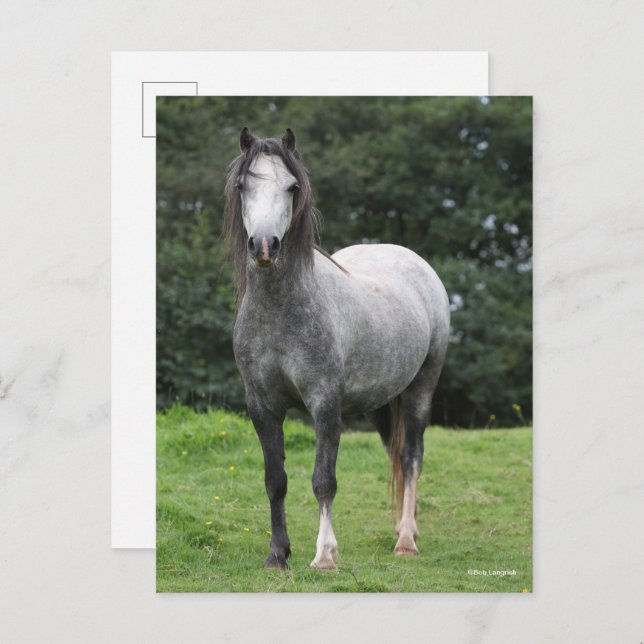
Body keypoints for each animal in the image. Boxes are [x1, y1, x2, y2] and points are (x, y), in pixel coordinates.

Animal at [223, 127, 450, 570]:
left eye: (291, 186)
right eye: (243, 186)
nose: (264, 246)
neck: (280, 312)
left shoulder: (325, 403)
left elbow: (323, 481)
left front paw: (325, 555)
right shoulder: (262, 406)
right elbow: (275, 481)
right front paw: (278, 554)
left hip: (420, 389)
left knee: (411, 457)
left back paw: (406, 540)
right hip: (383, 401)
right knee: (395, 455)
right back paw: (404, 529)